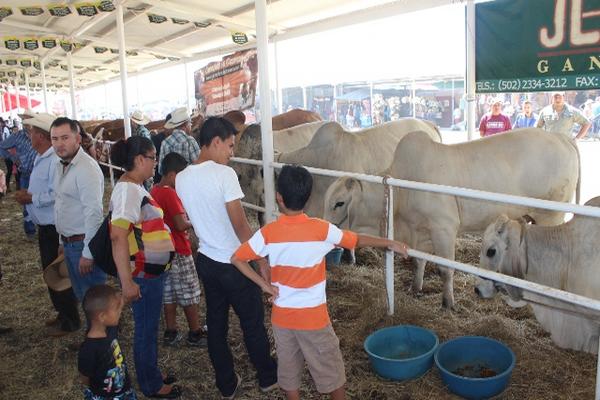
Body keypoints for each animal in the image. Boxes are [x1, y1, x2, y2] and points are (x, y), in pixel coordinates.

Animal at [324, 130, 580, 308]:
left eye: (339, 203)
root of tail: (561, 136)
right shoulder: (421, 232)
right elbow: (419, 262)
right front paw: (415, 288)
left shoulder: (444, 228)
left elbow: (445, 269)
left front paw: (448, 302)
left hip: (550, 215)